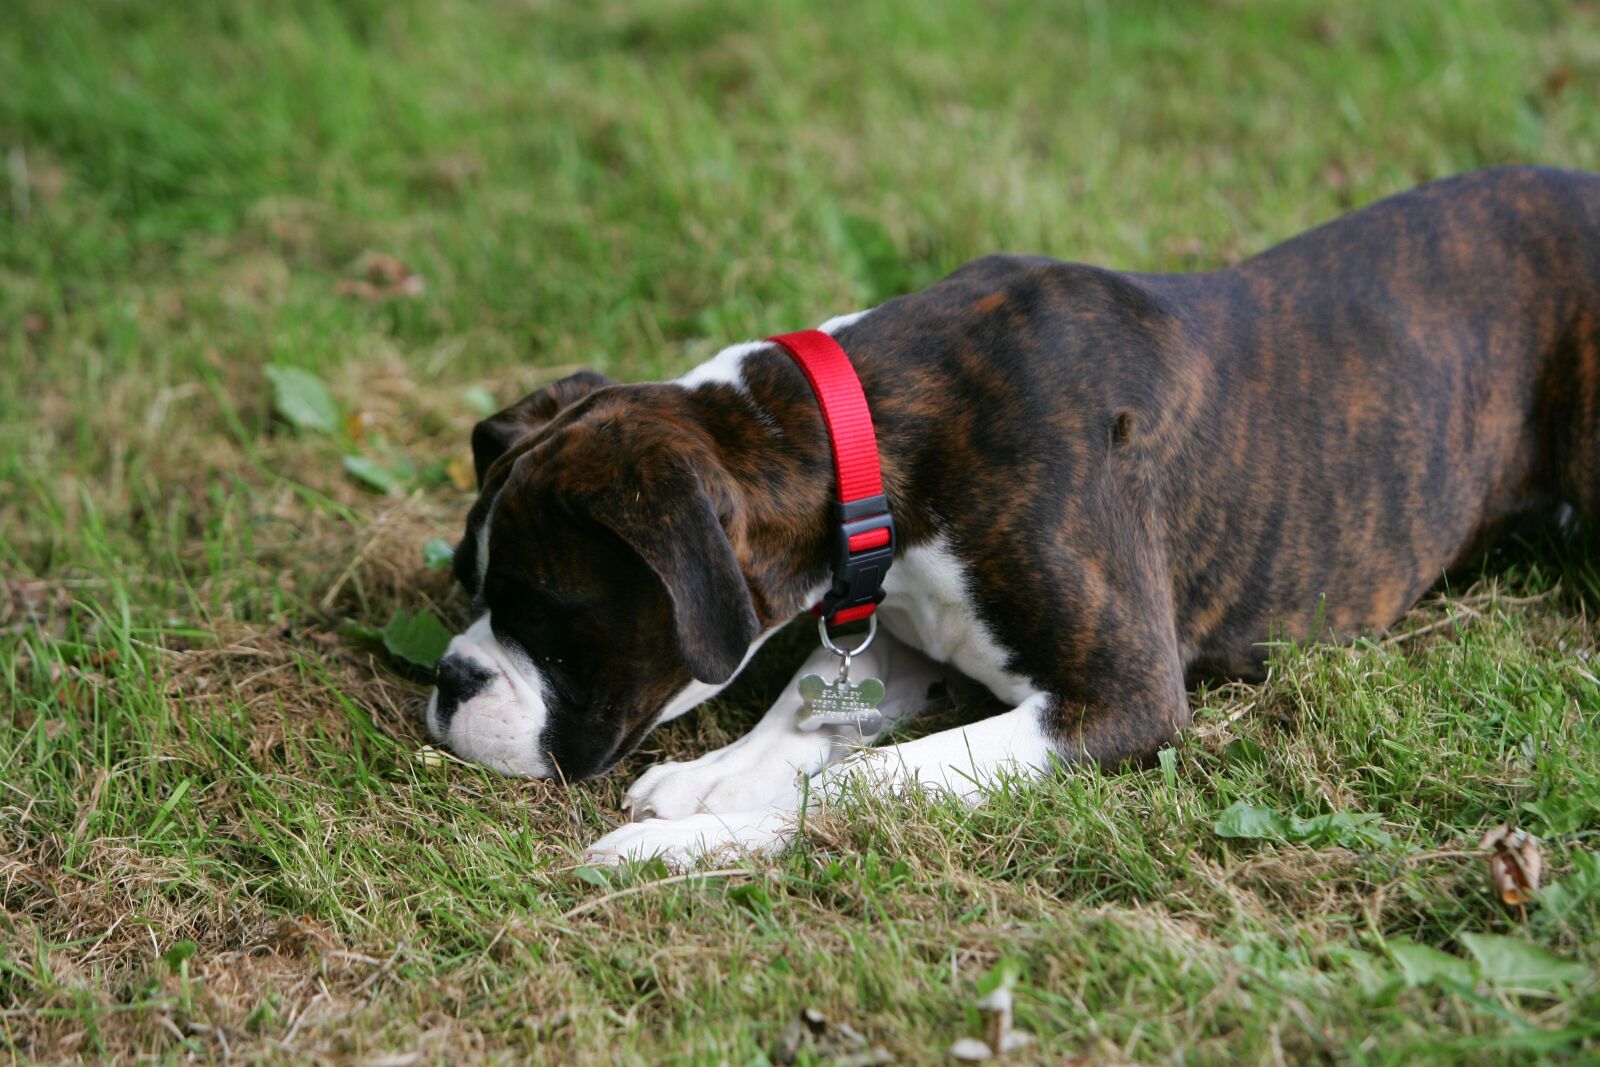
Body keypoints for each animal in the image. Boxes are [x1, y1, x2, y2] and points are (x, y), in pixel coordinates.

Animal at [422, 167, 1600, 870]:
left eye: (550, 616)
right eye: (472, 588)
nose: (449, 678)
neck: (875, 437)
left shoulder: (1120, 702)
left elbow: (867, 779)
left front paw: (688, 846)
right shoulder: (899, 636)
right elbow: (806, 712)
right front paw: (715, 779)